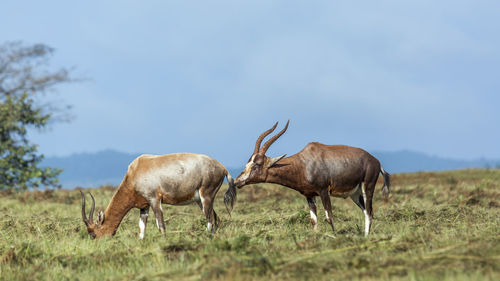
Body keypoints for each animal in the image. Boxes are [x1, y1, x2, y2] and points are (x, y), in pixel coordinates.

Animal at [81, 153, 237, 238]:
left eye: (92, 234)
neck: (136, 169)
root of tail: (222, 167)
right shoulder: (144, 206)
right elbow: (141, 229)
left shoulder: (155, 200)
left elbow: (161, 225)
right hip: (201, 200)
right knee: (216, 219)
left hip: (206, 197)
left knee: (210, 219)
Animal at [234, 121, 390, 235]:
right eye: (248, 163)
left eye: (257, 164)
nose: (237, 182)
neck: (304, 163)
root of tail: (376, 161)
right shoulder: (309, 195)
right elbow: (314, 220)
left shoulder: (323, 191)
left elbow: (329, 217)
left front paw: (335, 236)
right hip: (355, 194)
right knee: (366, 212)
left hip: (367, 187)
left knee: (369, 213)